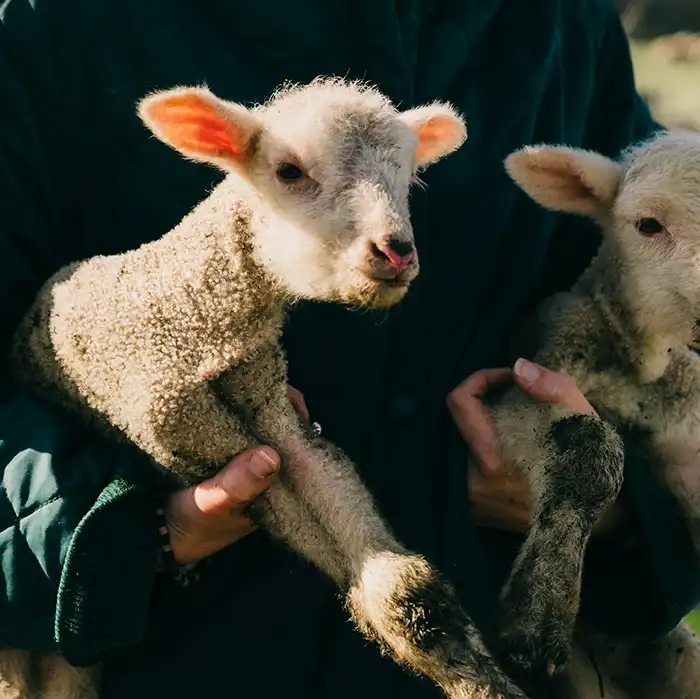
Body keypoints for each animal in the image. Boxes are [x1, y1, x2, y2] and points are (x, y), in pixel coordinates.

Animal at [4, 79, 532, 699]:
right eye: (289, 171)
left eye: (406, 177)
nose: (396, 251)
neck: (191, 317)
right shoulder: (183, 431)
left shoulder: (273, 404)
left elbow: (402, 587)